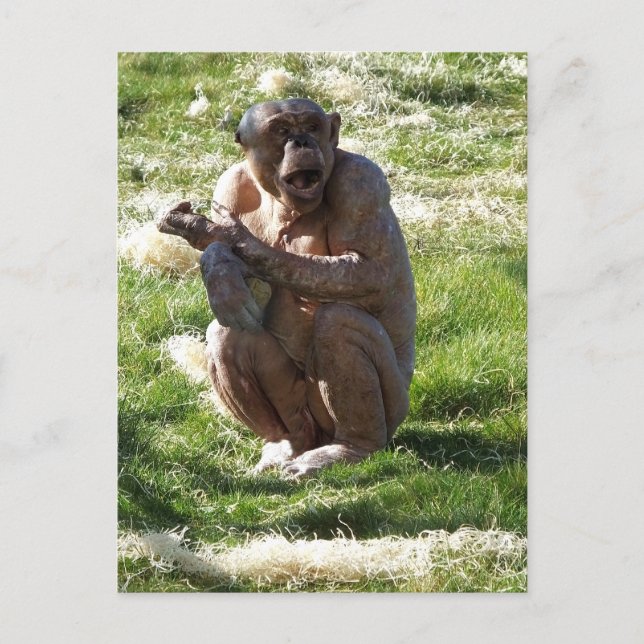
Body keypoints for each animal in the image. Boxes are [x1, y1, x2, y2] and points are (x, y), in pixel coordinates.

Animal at [157, 98, 416, 477]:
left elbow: (371, 271)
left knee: (339, 324)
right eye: (281, 131)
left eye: (311, 127)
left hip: (394, 407)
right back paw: (284, 445)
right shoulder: (229, 184)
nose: (301, 142)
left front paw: (230, 238)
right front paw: (219, 265)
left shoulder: (362, 183)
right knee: (229, 332)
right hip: (303, 416)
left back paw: (351, 448)